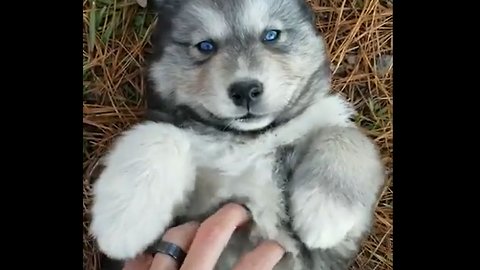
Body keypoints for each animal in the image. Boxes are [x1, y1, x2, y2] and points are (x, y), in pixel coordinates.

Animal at [90, 0, 384, 270]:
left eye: (271, 35)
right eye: (205, 46)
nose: (245, 90)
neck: (248, 139)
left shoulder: (326, 253)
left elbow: (346, 136)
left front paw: (325, 213)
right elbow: (159, 134)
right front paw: (123, 222)